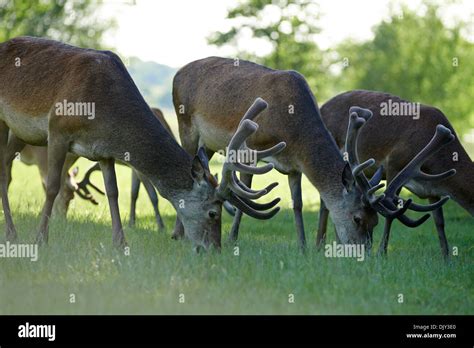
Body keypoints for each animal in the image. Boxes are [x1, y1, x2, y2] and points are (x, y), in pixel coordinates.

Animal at [0, 38, 282, 250]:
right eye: (213, 212)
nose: (213, 249)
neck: (102, 110)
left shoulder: (103, 151)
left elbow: (113, 192)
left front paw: (120, 243)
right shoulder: (58, 130)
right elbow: (52, 186)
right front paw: (40, 239)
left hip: (21, 133)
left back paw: (11, 231)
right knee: (6, 172)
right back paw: (12, 232)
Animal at [171, 56, 440, 250]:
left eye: (374, 221)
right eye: (357, 218)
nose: (363, 252)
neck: (292, 128)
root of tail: (178, 72)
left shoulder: (294, 164)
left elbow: (297, 203)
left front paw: (303, 246)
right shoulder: (250, 147)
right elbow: (245, 187)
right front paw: (232, 238)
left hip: (209, 143)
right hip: (186, 126)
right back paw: (178, 234)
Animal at [320, 91, 472, 256]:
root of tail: (322, 106)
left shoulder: (433, 189)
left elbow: (439, 222)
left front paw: (446, 257)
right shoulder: (394, 163)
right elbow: (391, 213)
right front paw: (382, 253)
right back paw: (321, 245)